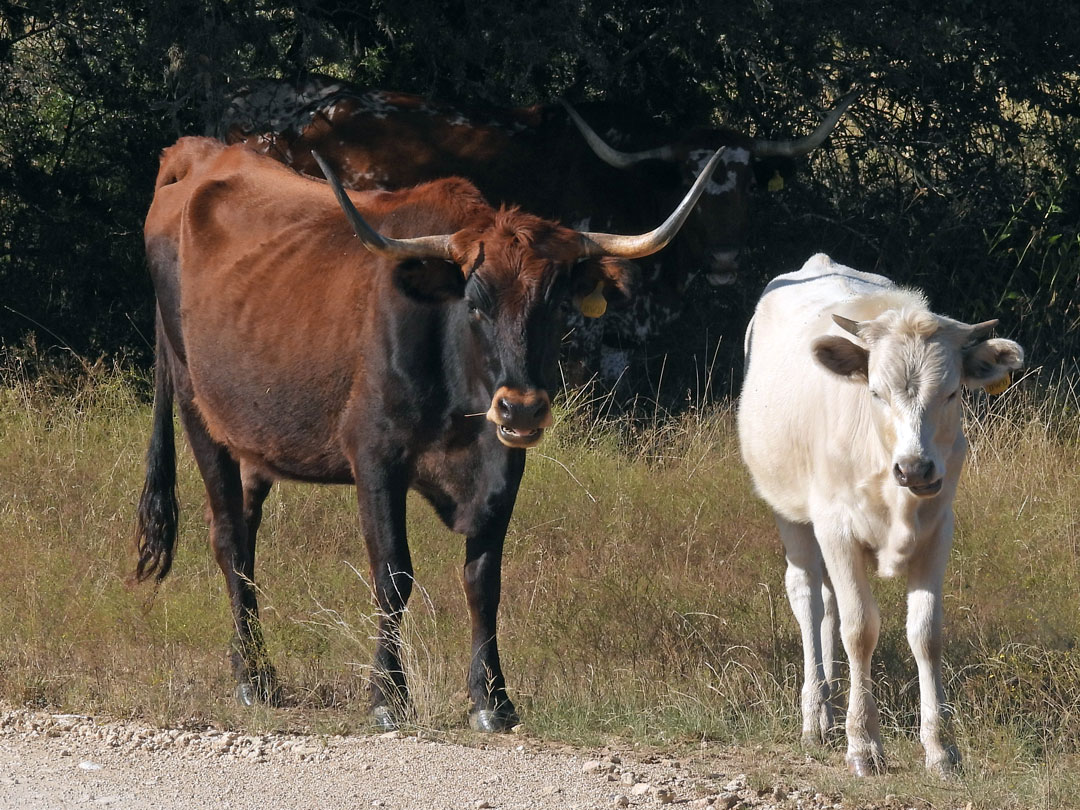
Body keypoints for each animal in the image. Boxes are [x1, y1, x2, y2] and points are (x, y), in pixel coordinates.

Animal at [137, 136, 725, 734]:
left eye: (555, 305)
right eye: (476, 304)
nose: (521, 407)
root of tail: (199, 155)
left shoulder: (503, 467)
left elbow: (483, 580)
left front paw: (492, 699)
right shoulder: (375, 458)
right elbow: (393, 574)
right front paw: (388, 696)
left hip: (255, 441)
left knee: (248, 537)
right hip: (196, 408)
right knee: (230, 537)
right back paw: (252, 679)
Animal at [738, 257, 1023, 777]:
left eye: (951, 393)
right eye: (875, 392)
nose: (914, 467)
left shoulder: (939, 529)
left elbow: (925, 633)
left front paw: (940, 747)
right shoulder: (835, 528)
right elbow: (860, 629)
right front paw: (864, 743)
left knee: (828, 603)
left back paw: (829, 709)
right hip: (791, 512)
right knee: (808, 598)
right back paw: (814, 716)